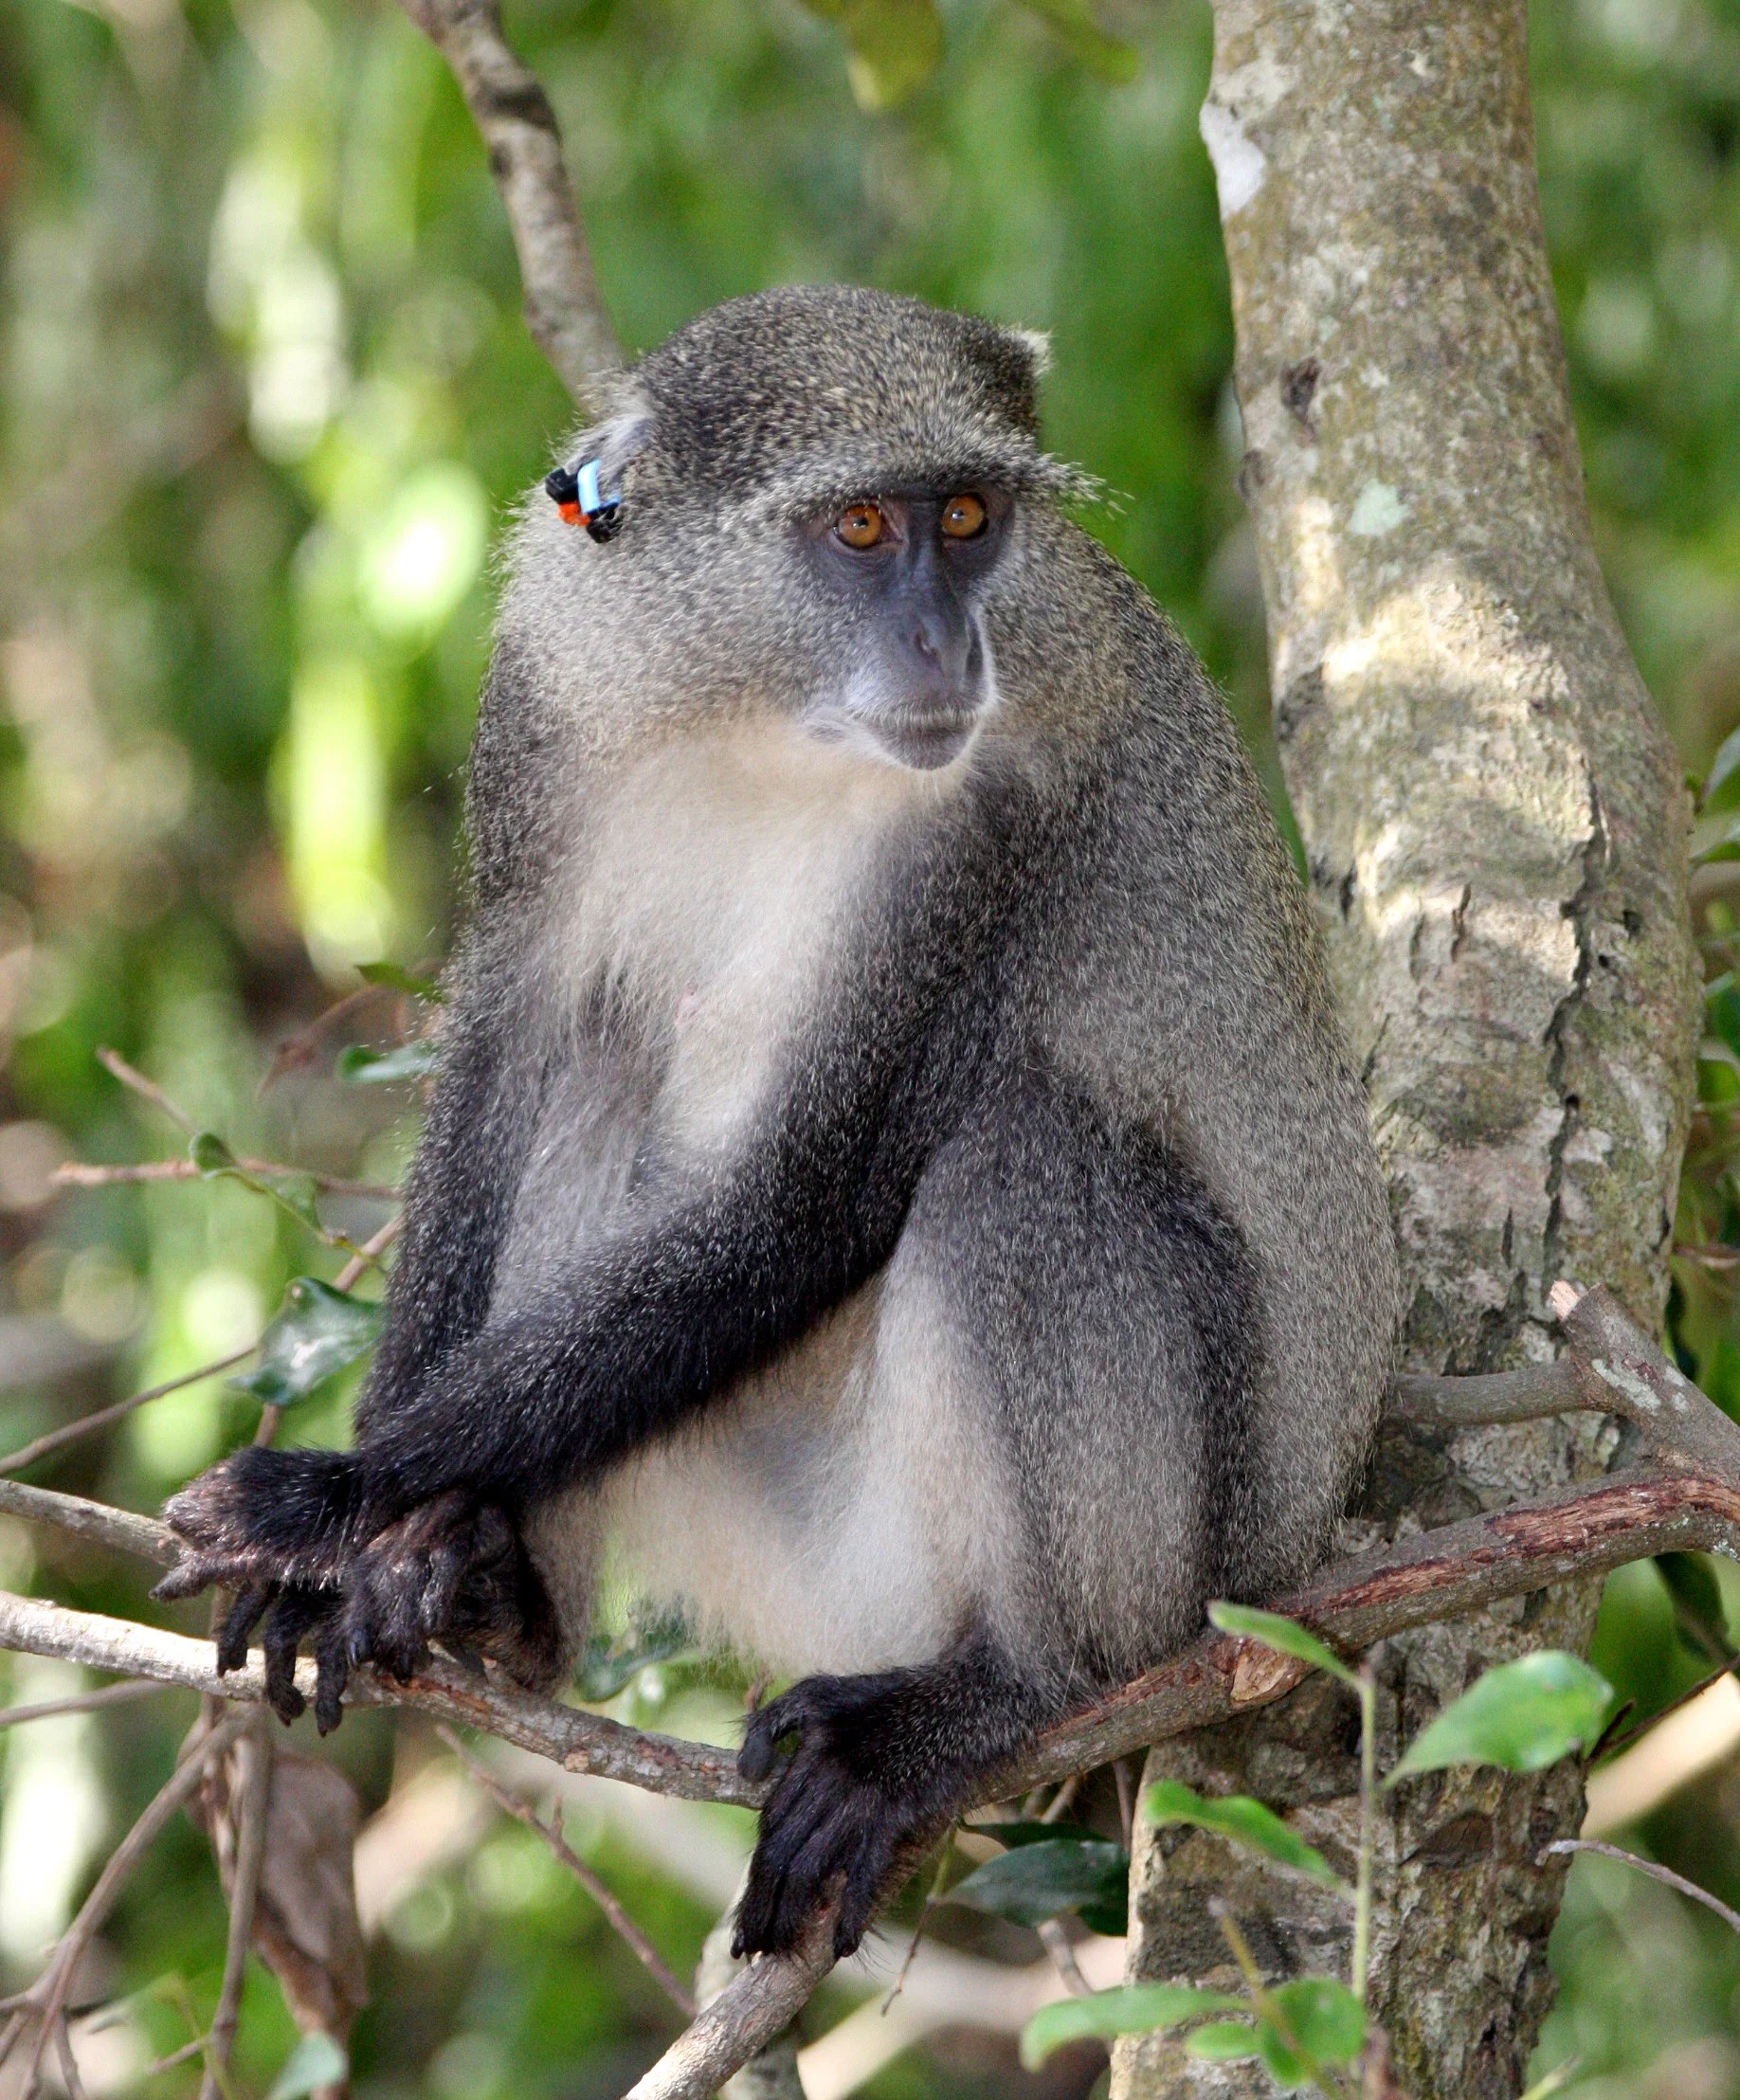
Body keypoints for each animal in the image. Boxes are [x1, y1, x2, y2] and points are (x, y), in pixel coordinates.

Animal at [158, 285, 1400, 1963]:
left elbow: (814, 1196)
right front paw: (367, 1533)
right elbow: (518, 1041)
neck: (765, 720)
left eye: (969, 517)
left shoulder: (996, 827)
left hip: (1189, 1567)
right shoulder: (545, 696)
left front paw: (322, 1500)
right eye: (865, 528)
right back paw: (497, 1593)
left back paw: (1003, 1691)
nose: (948, 644)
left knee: (1021, 1159)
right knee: (606, 1072)